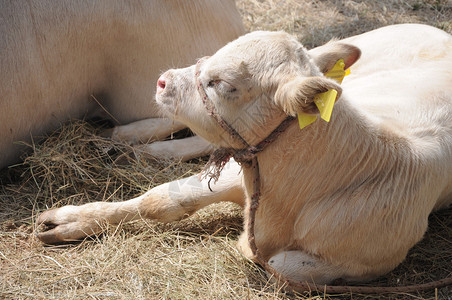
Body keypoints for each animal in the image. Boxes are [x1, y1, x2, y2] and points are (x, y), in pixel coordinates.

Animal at [36, 24, 452, 292]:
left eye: (223, 84)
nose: (162, 79)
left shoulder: (368, 263)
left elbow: (280, 265)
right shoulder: (241, 172)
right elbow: (162, 200)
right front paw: (67, 220)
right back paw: (132, 136)